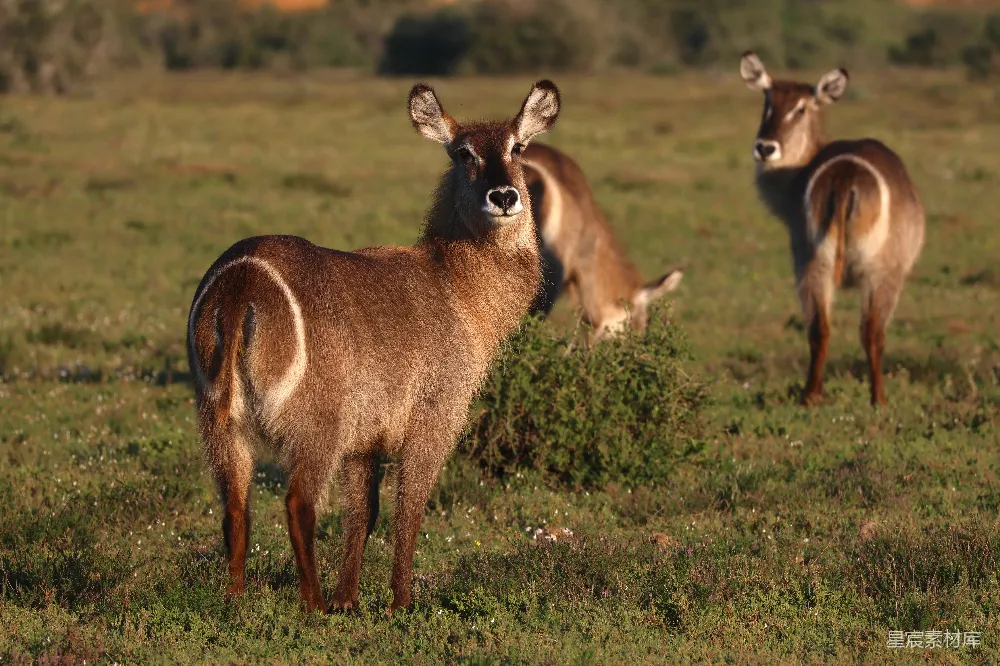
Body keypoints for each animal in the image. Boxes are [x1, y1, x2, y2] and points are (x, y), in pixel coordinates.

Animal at [186, 80, 561, 614]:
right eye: (462, 152)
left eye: (518, 147)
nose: (504, 195)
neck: (456, 284)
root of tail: (242, 280)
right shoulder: (434, 416)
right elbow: (409, 510)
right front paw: (400, 601)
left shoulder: (365, 444)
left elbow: (363, 513)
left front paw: (349, 598)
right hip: (318, 424)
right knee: (298, 505)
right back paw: (314, 605)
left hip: (218, 419)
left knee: (236, 507)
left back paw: (237, 600)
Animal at [739, 52, 925, 407]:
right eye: (768, 101)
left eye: (801, 107)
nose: (765, 147)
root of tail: (845, 174)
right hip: (872, 270)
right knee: (868, 331)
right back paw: (874, 399)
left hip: (818, 263)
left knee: (822, 329)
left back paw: (813, 396)